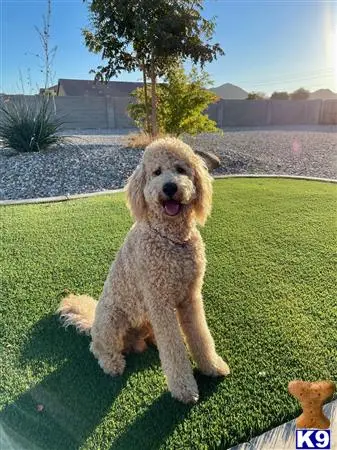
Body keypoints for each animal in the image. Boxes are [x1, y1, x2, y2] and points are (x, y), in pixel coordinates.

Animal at [59, 138, 230, 404]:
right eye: (156, 172)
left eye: (181, 169)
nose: (169, 187)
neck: (172, 239)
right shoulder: (159, 302)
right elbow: (173, 349)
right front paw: (184, 389)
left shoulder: (190, 297)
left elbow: (200, 335)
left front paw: (212, 366)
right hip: (112, 318)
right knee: (99, 347)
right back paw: (112, 363)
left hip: (145, 319)